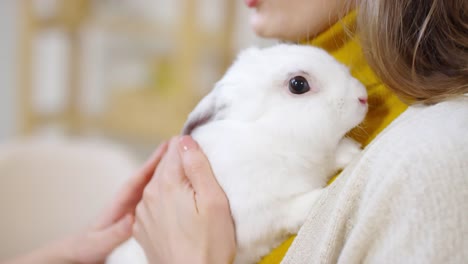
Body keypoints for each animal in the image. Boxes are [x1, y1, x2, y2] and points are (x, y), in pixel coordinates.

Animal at [108, 43, 368, 264]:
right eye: (298, 84)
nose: (362, 96)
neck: (270, 137)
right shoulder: (256, 215)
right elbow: (289, 210)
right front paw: (321, 196)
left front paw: (350, 151)